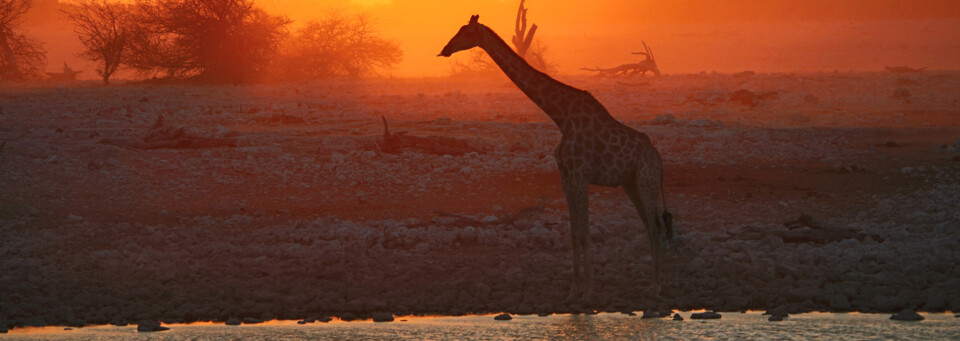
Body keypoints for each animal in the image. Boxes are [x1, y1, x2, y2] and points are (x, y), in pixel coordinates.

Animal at [438, 15, 672, 300]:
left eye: (465, 32)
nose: (445, 49)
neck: (562, 117)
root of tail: (659, 159)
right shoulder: (566, 177)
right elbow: (573, 234)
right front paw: (573, 290)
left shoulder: (581, 176)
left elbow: (585, 233)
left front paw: (589, 292)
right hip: (631, 184)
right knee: (650, 225)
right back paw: (653, 285)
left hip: (646, 181)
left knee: (655, 226)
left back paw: (657, 287)